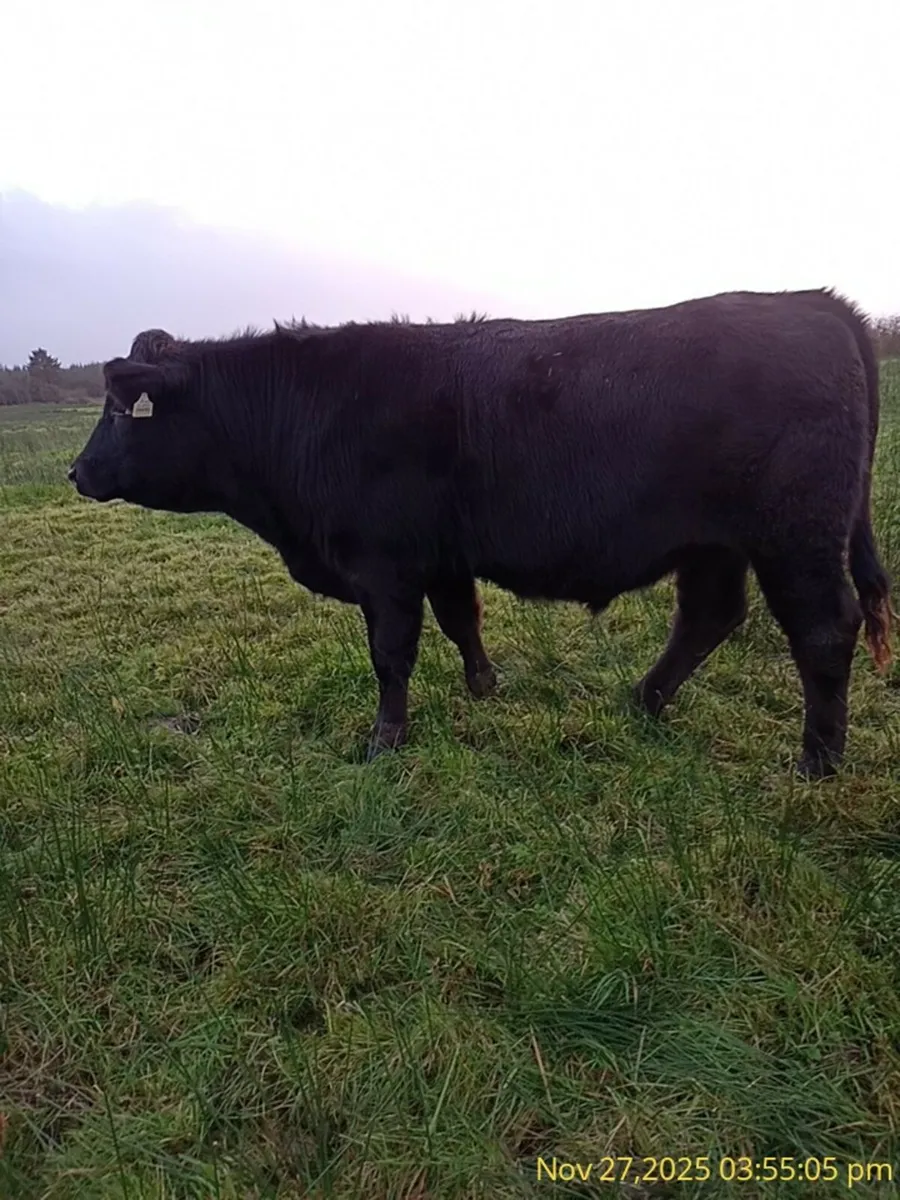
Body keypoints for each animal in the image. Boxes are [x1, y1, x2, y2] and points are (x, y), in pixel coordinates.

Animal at [69, 290, 894, 777]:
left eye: (118, 411)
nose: (76, 472)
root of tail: (811, 303)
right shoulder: (440, 558)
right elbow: (461, 619)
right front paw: (484, 688)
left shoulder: (384, 566)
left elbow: (391, 655)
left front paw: (384, 740)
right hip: (715, 544)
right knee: (709, 616)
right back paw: (643, 700)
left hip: (795, 538)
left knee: (824, 630)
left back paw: (817, 762)